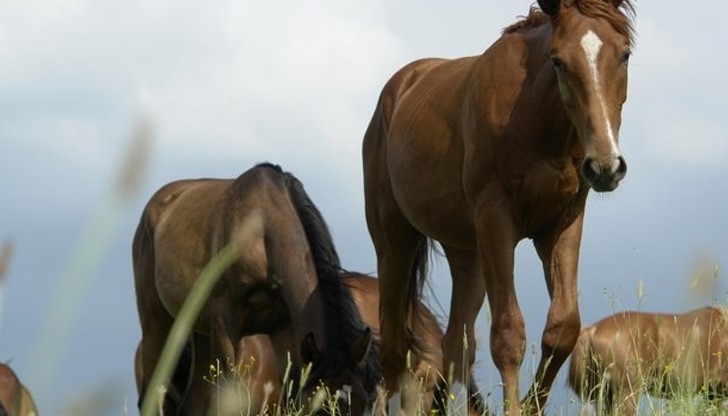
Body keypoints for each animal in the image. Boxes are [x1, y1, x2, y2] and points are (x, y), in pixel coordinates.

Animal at [132, 163, 378, 416]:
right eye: (320, 409)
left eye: (363, 404)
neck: (263, 230)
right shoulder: (224, 322)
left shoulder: (283, 331)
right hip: (156, 324)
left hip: (200, 331)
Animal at [362, 0, 636, 412]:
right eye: (558, 61)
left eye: (624, 54)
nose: (605, 165)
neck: (534, 119)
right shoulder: (496, 220)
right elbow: (508, 334)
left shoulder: (561, 222)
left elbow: (563, 327)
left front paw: (531, 406)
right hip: (395, 242)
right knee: (394, 352)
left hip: (468, 255)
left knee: (455, 345)